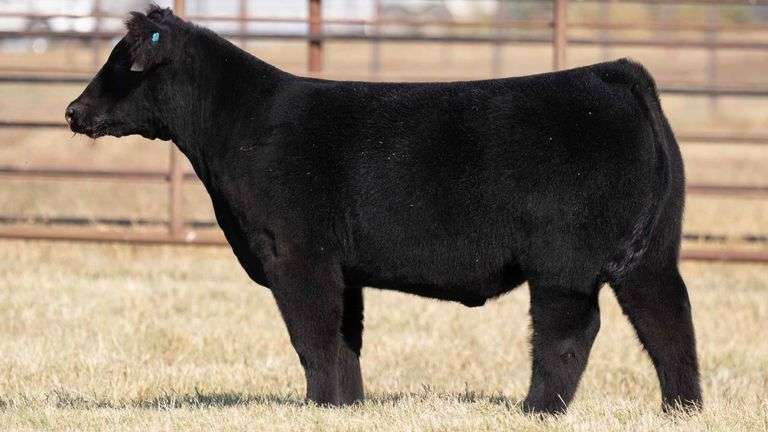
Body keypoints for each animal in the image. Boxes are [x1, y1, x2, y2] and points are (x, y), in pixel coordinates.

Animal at [65, 6, 702, 414]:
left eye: (121, 63)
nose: (73, 110)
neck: (243, 125)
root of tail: (611, 72)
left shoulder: (296, 254)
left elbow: (313, 334)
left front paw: (318, 405)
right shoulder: (341, 267)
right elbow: (346, 338)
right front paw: (346, 405)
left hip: (563, 262)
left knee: (569, 331)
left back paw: (538, 410)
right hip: (650, 254)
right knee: (668, 318)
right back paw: (682, 408)